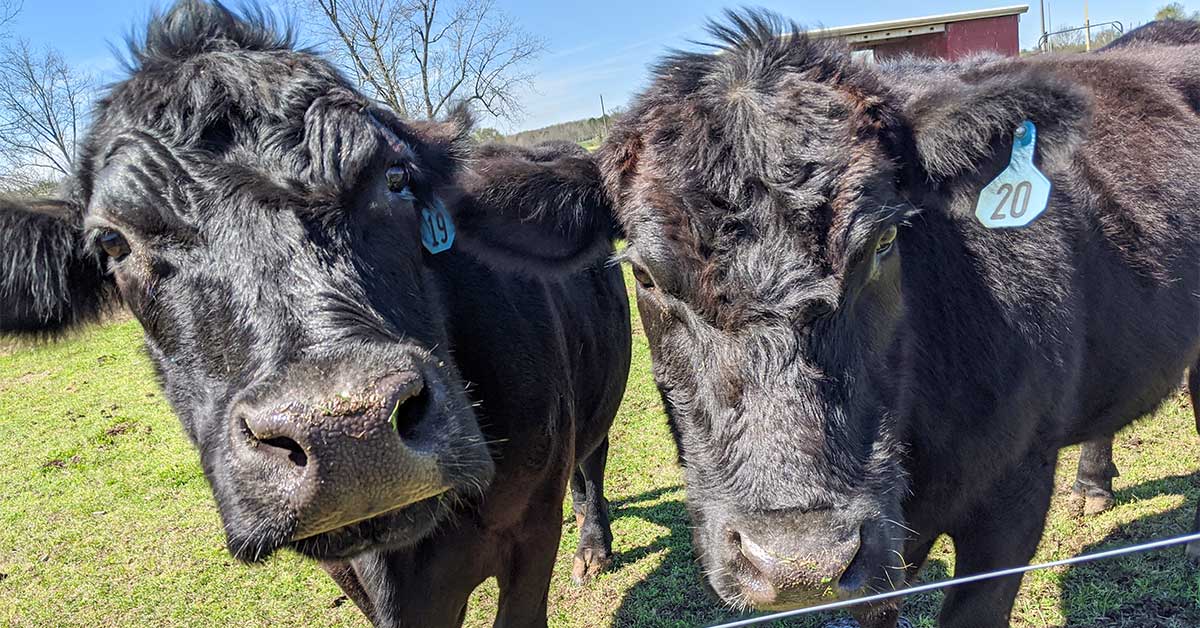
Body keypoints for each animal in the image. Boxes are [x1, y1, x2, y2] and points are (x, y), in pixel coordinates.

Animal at [0, 2, 631, 626]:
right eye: (112, 242)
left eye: (396, 178)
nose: (347, 432)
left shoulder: (532, 526)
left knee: (592, 459)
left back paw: (593, 545)